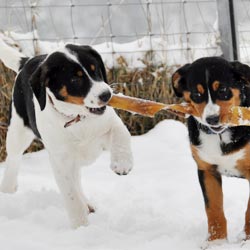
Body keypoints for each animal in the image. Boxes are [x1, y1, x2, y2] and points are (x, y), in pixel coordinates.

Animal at [0, 41, 133, 229]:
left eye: (96, 70)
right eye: (75, 79)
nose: (107, 95)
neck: (77, 118)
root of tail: (26, 61)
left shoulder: (111, 123)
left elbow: (121, 135)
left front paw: (122, 163)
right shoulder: (60, 161)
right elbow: (71, 197)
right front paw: (81, 227)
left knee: (77, 178)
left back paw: (88, 204)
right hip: (18, 131)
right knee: (13, 159)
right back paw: (8, 190)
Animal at [172, 57, 250, 242]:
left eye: (223, 90)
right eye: (196, 94)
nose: (212, 119)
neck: (221, 136)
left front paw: (246, 238)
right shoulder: (206, 170)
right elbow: (213, 209)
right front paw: (217, 241)